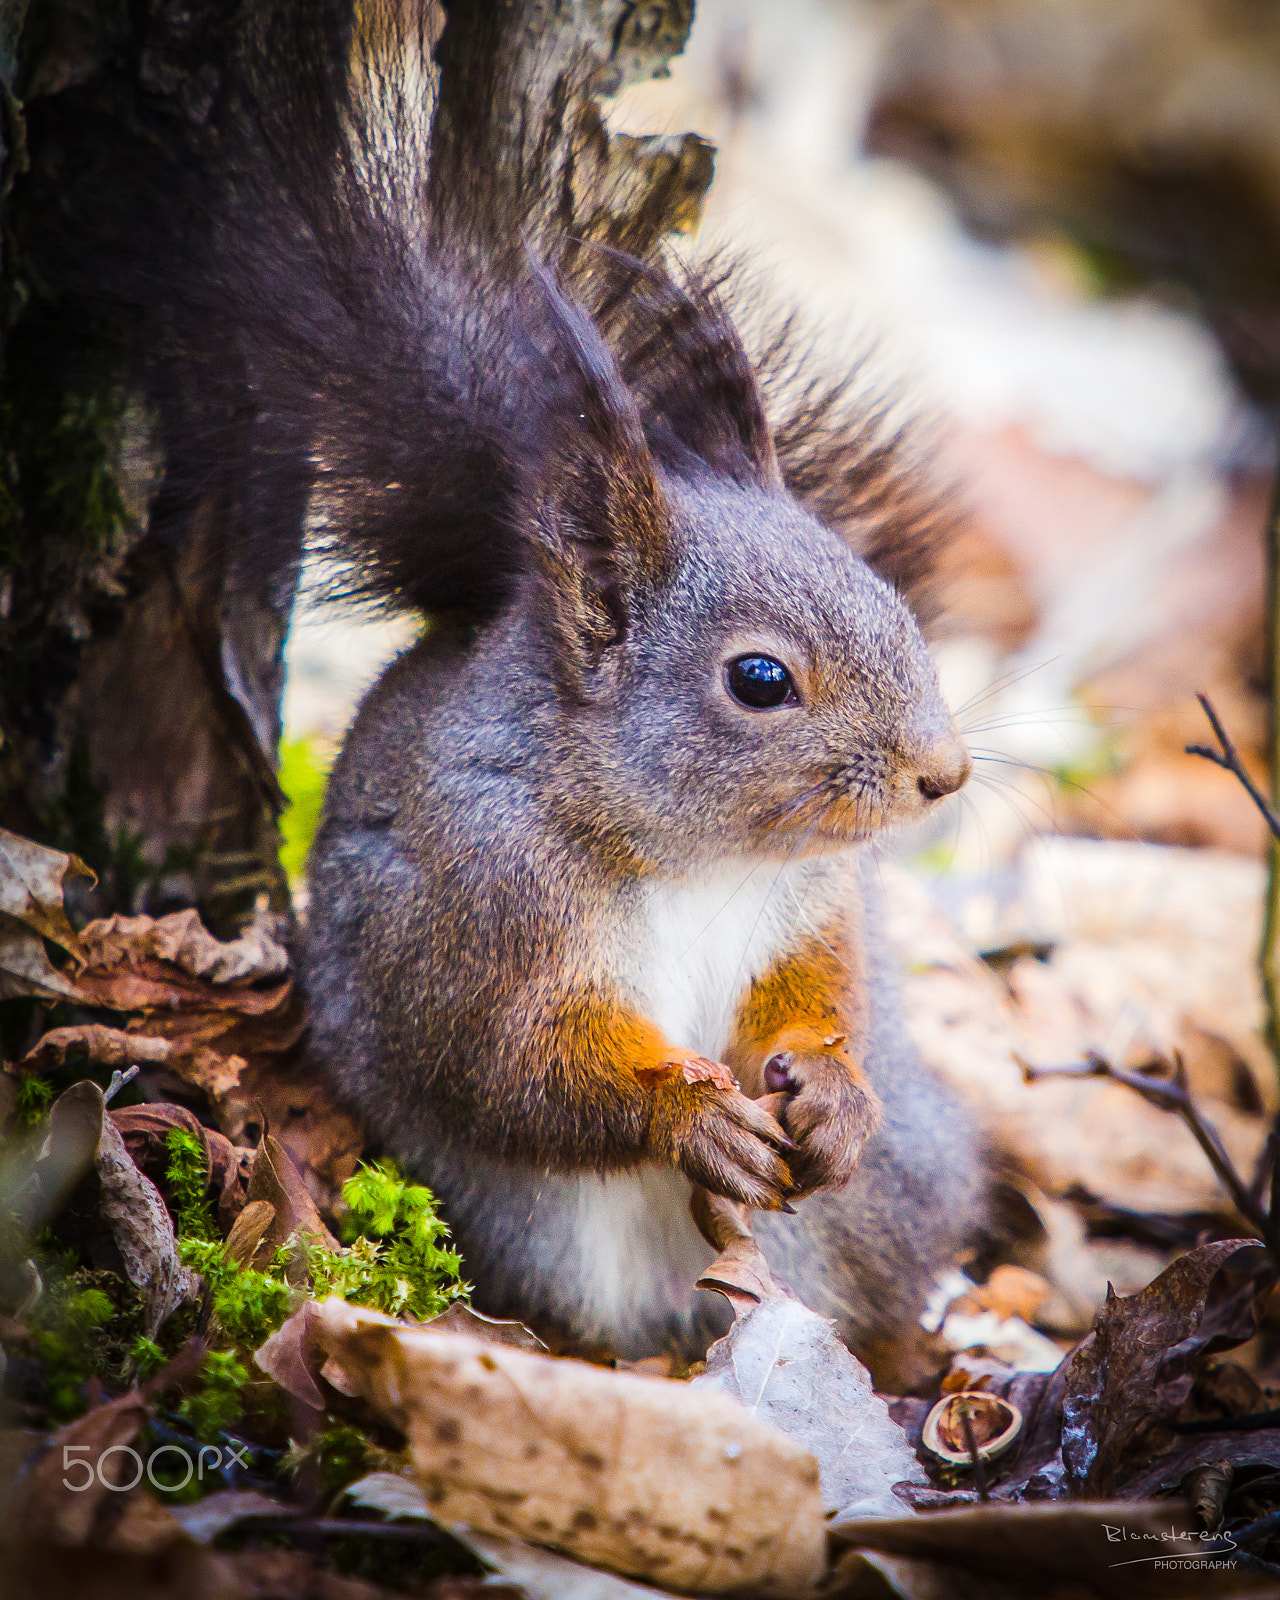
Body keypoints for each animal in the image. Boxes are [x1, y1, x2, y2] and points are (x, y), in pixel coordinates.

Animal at [25, 0, 992, 1388]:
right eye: (758, 679)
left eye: (890, 598)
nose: (940, 774)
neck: (694, 851)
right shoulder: (475, 902)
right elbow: (512, 1060)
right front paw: (686, 1112)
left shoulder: (814, 904)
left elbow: (826, 992)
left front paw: (828, 1087)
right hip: (531, 1225)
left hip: (878, 1206)